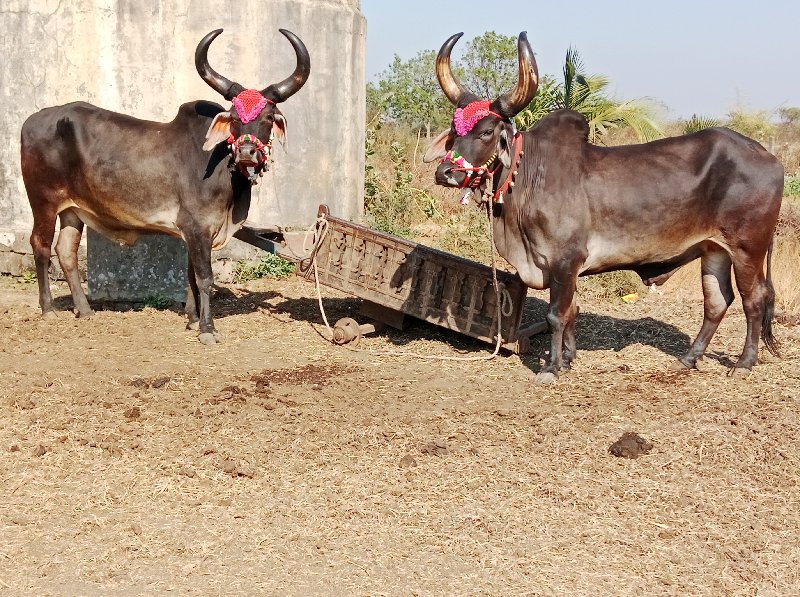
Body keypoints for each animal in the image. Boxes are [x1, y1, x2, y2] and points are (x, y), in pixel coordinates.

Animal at [21, 29, 310, 344]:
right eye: (234, 118)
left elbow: (191, 274)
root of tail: (32, 120)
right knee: (41, 245)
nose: (247, 152)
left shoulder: (195, 231)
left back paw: (85, 310)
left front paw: (193, 320)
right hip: (43, 202)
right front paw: (208, 329)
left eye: (268, 117)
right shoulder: (197, 226)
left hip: (72, 210)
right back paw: (48, 309)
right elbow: (205, 278)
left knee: (66, 251)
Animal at [424, 31, 780, 382]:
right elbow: (571, 312)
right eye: (455, 131)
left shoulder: (565, 259)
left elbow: (556, 315)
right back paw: (689, 358)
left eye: (486, 131)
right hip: (714, 249)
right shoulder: (565, 267)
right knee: (718, 302)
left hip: (747, 249)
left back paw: (743, 363)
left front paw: (551, 368)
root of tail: (771, 158)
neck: (529, 176)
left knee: (754, 300)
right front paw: (567, 359)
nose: (446, 173)